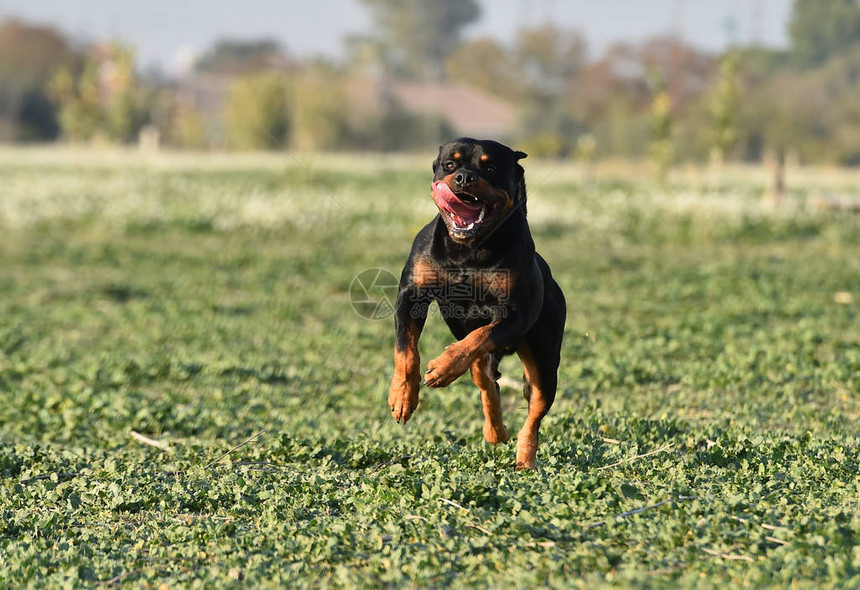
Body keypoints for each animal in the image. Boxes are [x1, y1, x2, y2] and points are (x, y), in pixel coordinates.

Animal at [388, 139, 564, 472]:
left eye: (491, 167)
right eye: (450, 164)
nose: (464, 178)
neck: (468, 251)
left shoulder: (515, 316)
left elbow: (478, 337)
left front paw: (442, 368)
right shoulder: (411, 295)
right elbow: (406, 351)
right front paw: (403, 397)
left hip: (544, 362)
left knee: (534, 410)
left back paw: (524, 459)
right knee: (487, 382)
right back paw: (496, 431)